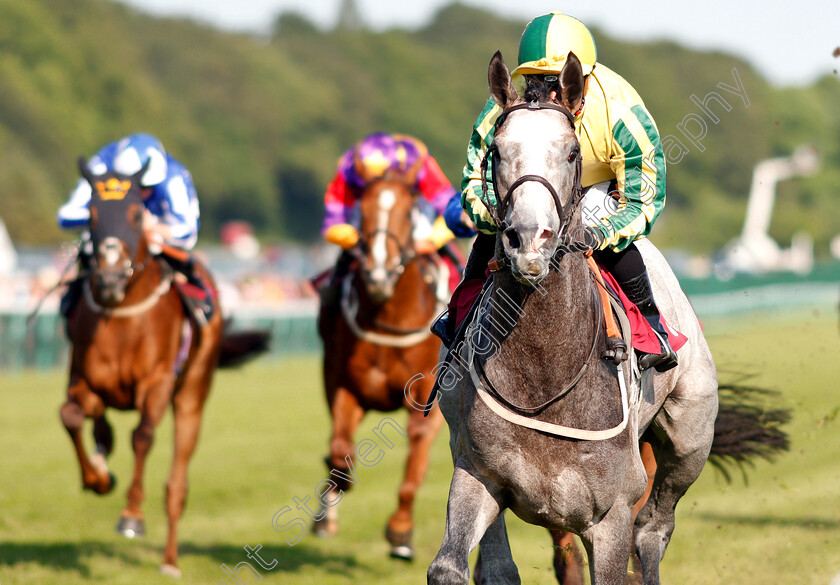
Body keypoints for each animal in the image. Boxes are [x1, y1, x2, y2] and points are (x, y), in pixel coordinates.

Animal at [61, 159, 266, 576]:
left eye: (137, 214)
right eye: (91, 213)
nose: (108, 279)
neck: (121, 314)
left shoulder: (156, 383)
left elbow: (142, 436)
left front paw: (131, 516)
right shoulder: (81, 378)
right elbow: (71, 415)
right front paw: (98, 478)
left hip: (192, 395)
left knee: (177, 484)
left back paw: (170, 561)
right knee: (99, 423)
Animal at [316, 171, 446, 560]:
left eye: (408, 212)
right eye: (363, 209)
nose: (378, 275)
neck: (388, 317)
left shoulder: (428, 397)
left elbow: (414, 465)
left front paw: (400, 531)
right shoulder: (343, 385)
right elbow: (339, 450)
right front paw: (330, 509)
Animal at [430, 51, 720, 584]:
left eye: (570, 152)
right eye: (495, 151)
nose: (529, 240)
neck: (545, 377)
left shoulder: (610, 517)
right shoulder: (477, 474)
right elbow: (453, 566)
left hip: (690, 438)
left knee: (654, 529)